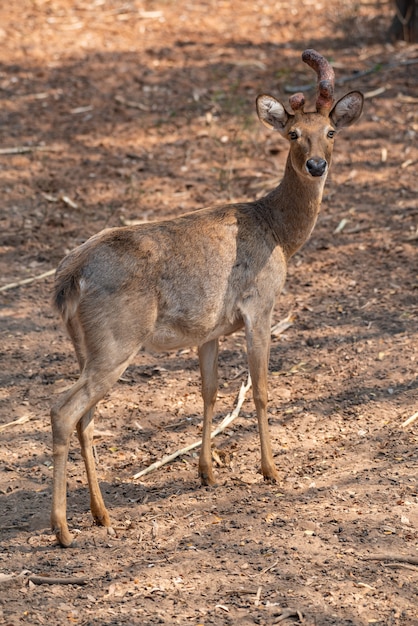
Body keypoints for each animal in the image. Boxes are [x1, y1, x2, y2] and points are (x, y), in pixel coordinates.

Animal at [49, 50, 362, 544]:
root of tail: (69, 277)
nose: (316, 165)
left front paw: (207, 471)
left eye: (330, 131)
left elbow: (210, 390)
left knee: (86, 417)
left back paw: (102, 514)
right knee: (64, 410)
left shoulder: (210, 329)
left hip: (86, 346)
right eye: (293, 134)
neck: (280, 233)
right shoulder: (261, 305)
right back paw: (62, 529)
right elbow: (261, 389)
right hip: (117, 340)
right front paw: (271, 469)